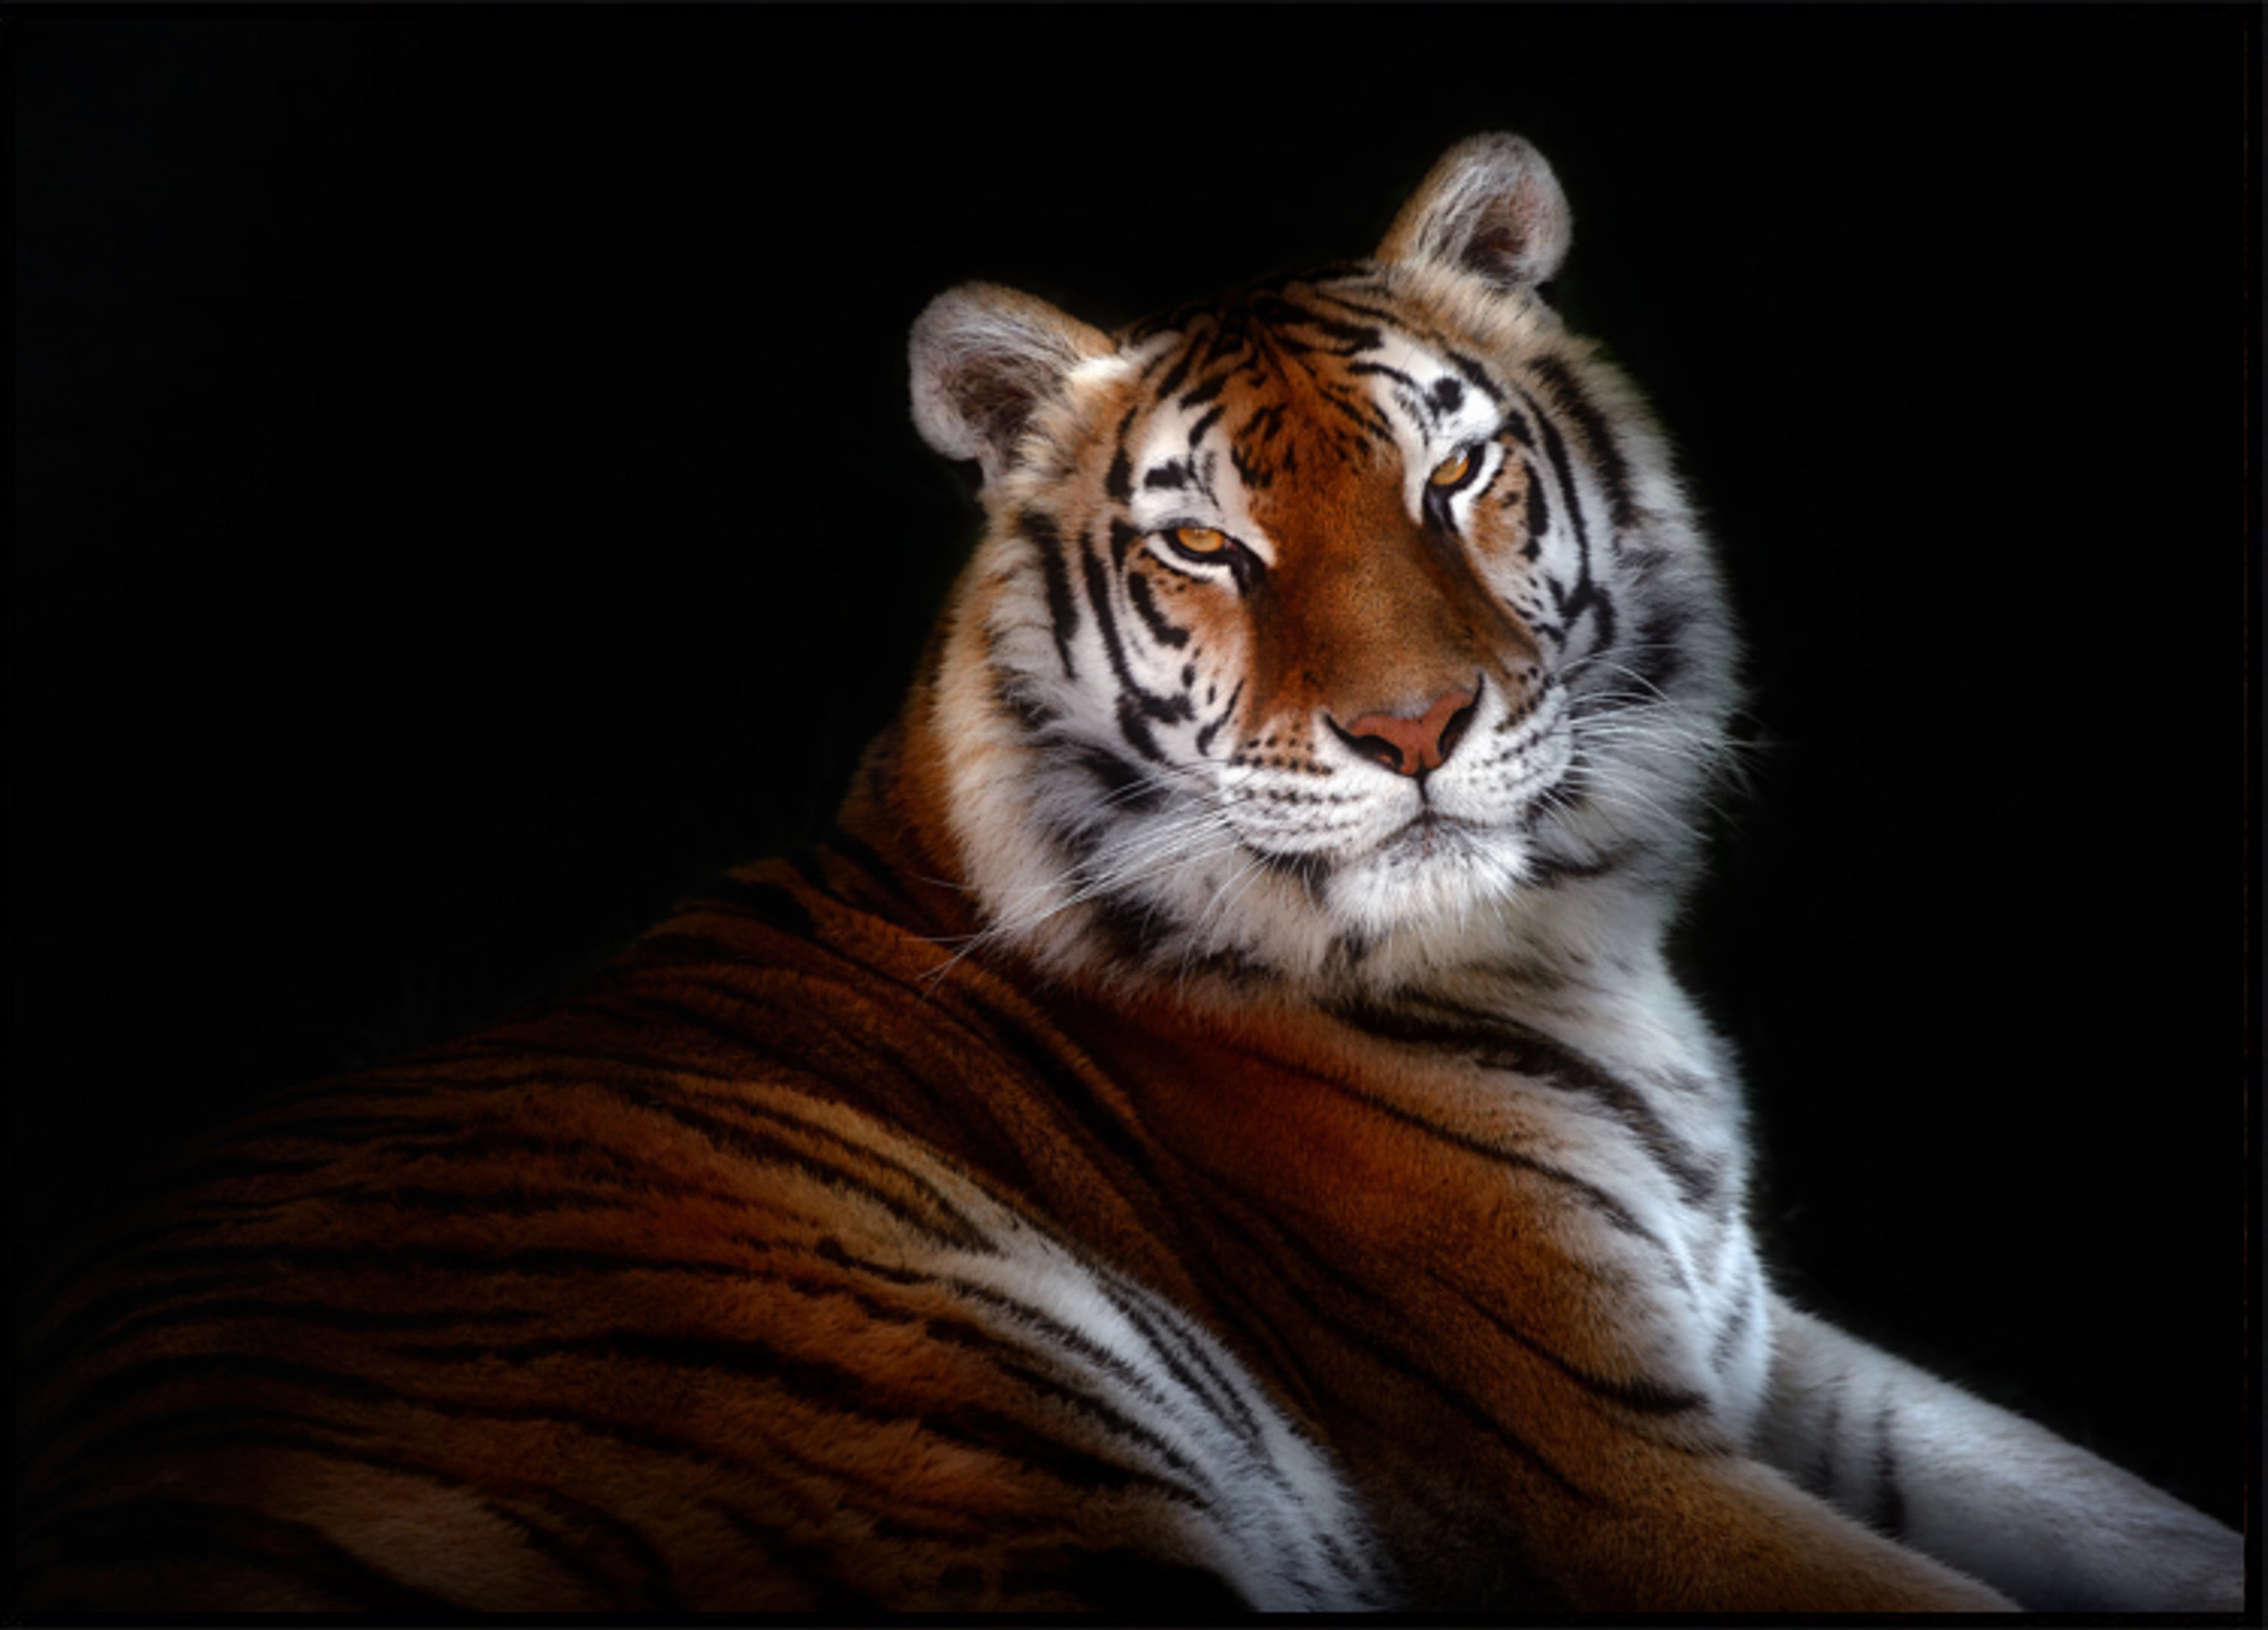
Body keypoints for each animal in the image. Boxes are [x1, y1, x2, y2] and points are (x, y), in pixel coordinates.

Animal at [14, 134, 2244, 1613]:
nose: (1415, 728)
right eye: (1207, 547)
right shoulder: (1596, 1464)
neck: (1571, 940)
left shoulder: (1761, 1347)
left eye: (1453, 474)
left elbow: (2117, 1508)